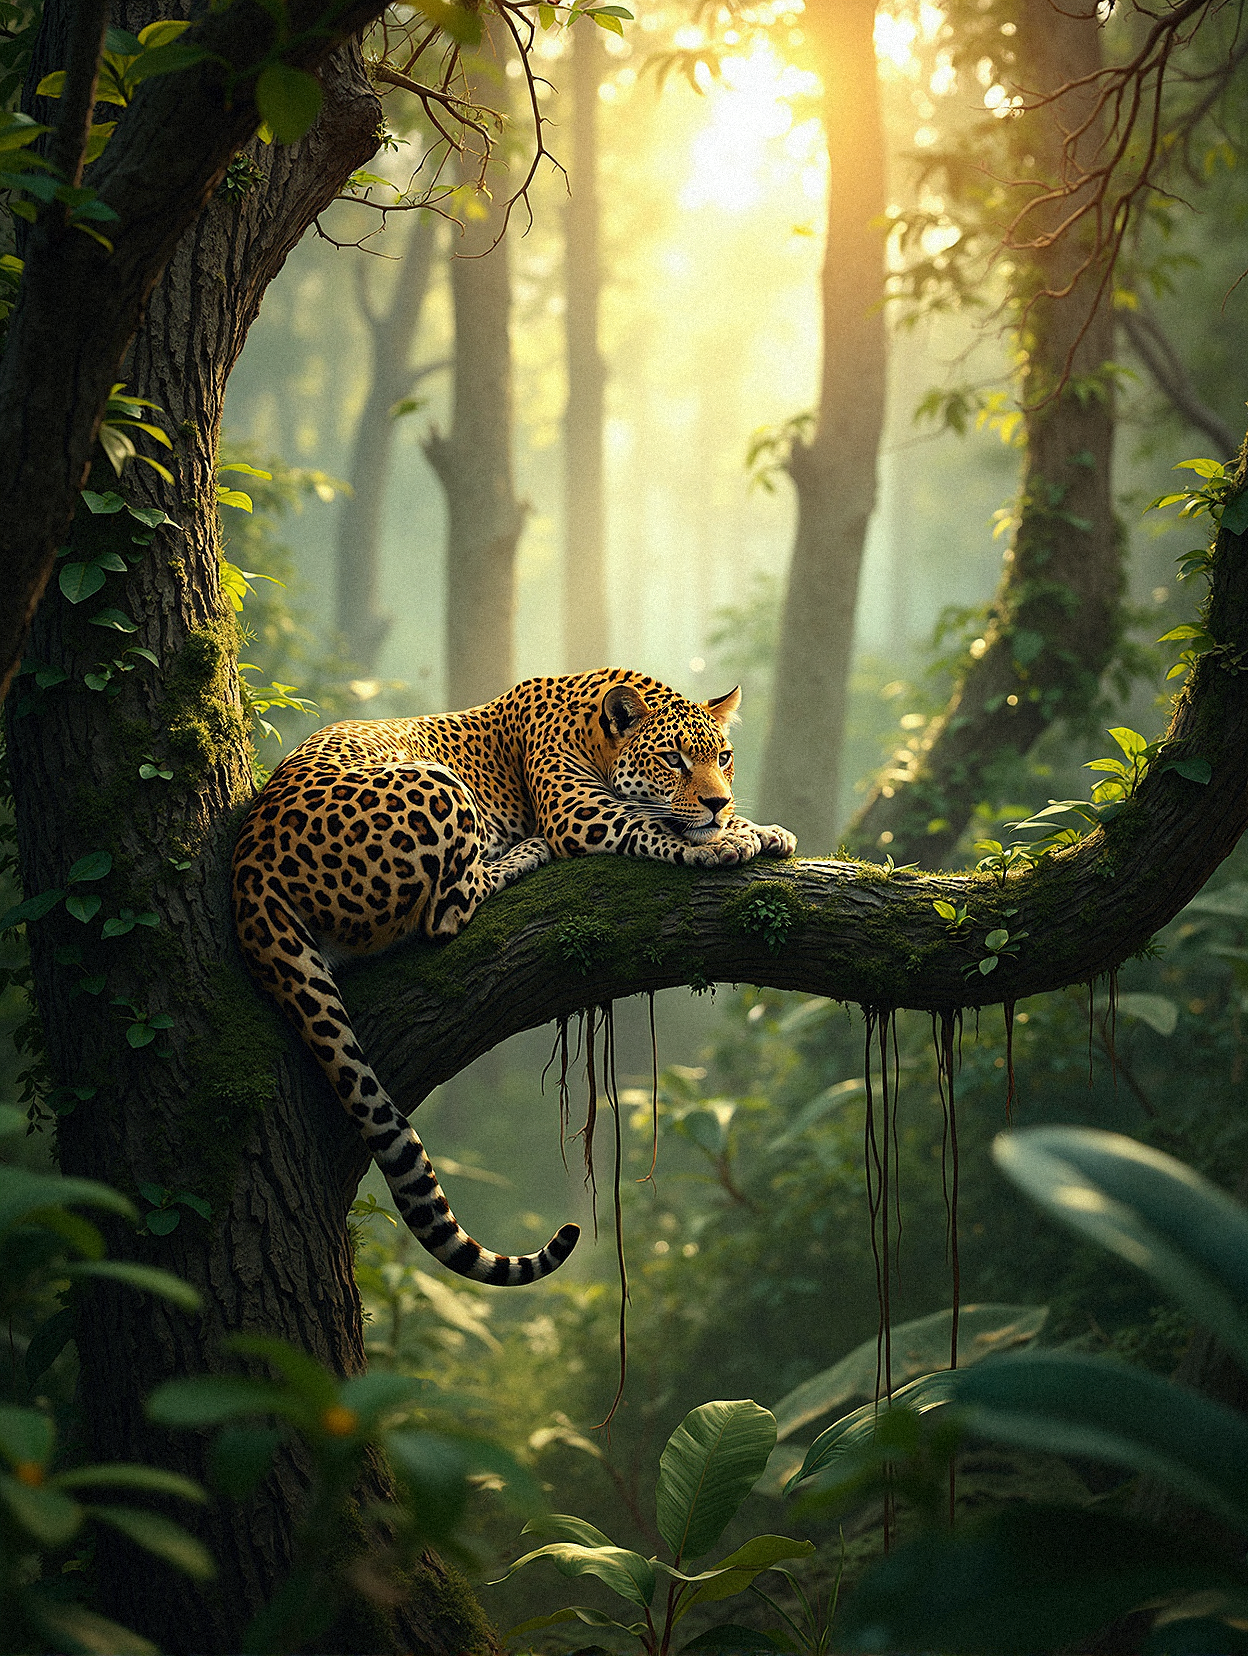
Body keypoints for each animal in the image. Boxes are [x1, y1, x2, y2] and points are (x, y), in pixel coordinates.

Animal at [232, 667, 796, 1285]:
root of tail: (250, 863)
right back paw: (524, 852)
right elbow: (652, 823)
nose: (719, 803)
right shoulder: (579, 812)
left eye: (724, 757)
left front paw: (762, 829)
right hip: (439, 786)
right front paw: (728, 839)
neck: (591, 722)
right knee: (445, 911)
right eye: (674, 759)